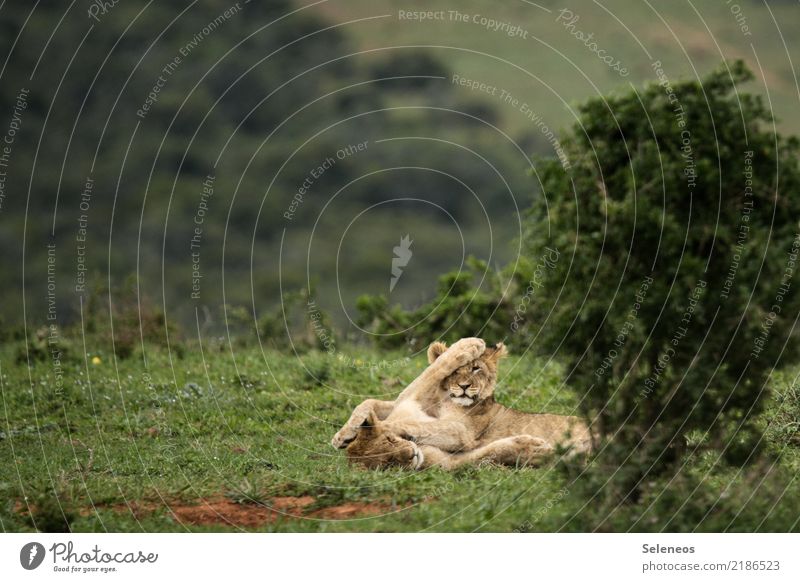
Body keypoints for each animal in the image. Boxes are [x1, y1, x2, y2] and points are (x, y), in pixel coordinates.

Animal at [340, 342, 592, 470]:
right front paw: (345, 435)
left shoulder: (462, 430)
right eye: (387, 465)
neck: (444, 400)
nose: (463, 386)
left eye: (476, 368)